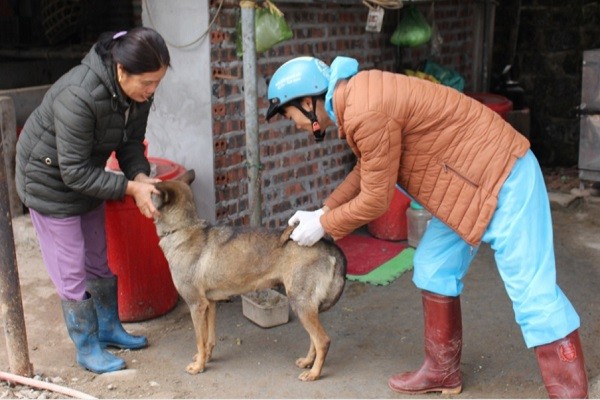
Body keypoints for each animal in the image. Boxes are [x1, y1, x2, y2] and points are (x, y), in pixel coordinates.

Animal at [150, 170, 346, 382]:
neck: (184, 229)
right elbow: (209, 339)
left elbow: (199, 341)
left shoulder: (197, 305)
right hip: (306, 306)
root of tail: (327, 245)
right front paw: (207, 358)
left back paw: (314, 373)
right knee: (314, 339)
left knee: (323, 340)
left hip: (300, 303)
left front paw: (199, 366)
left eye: (151, 191)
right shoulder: (210, 304)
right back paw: (308, 362)